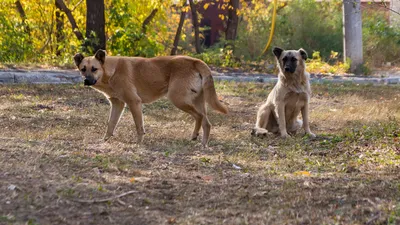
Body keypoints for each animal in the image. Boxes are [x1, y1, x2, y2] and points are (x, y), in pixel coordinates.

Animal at [73, 49, 227, 146]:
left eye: (94, 69)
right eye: (83, 69)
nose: (86, 81)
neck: (111, 71)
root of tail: (195, 61)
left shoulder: (134, 102)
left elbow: (139, 126)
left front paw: (139, 143)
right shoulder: (118, 104)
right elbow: (111, 124)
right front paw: (104, 141)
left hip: (178, 99)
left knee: (199, 117)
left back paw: (200, 141)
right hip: (197, 101)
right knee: (206, 122)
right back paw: (201, 141)